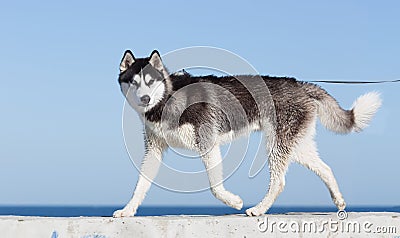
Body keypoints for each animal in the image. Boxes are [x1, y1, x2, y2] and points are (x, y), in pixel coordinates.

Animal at [113, 49, 382, 217]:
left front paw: (234, 201)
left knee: (279, 181)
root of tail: (300, 84)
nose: (145, 99)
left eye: (150, 81)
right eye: (134, 82)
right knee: (325, 168)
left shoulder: (208, 143)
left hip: (276, 144)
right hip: (295, 145)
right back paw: (338, 199)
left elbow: (215, 187)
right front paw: (128, 210)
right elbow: (140, 186)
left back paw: (259, 209)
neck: (168, 98)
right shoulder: (154, 151)